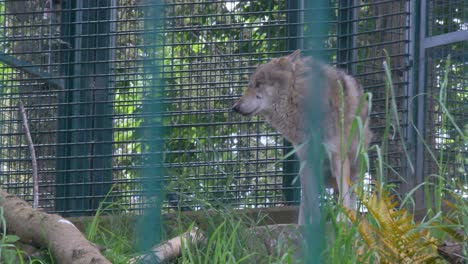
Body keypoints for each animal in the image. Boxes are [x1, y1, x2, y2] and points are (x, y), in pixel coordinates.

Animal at [232, 50, 372, 224]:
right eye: (250, 84)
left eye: (259, 83)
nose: (235, 107)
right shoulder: (307, 160)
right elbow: (311, 204)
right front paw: (311, 226)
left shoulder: (338, 156)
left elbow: (344, 195)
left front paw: (341, 221)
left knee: (350, 194)